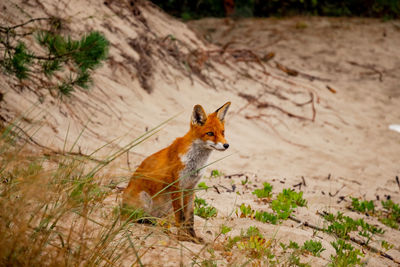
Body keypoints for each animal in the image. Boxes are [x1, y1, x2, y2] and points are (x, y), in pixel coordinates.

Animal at [123, 102, 233, 243]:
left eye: (223, 132)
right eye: (210, 133)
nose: (226, 145)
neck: (195, 163)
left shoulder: (190, 188)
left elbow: (190, 217)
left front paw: (193, 238)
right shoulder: (176, 186)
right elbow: (180, 216)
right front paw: (182, 238)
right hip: (145, 199)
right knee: (135, 218)